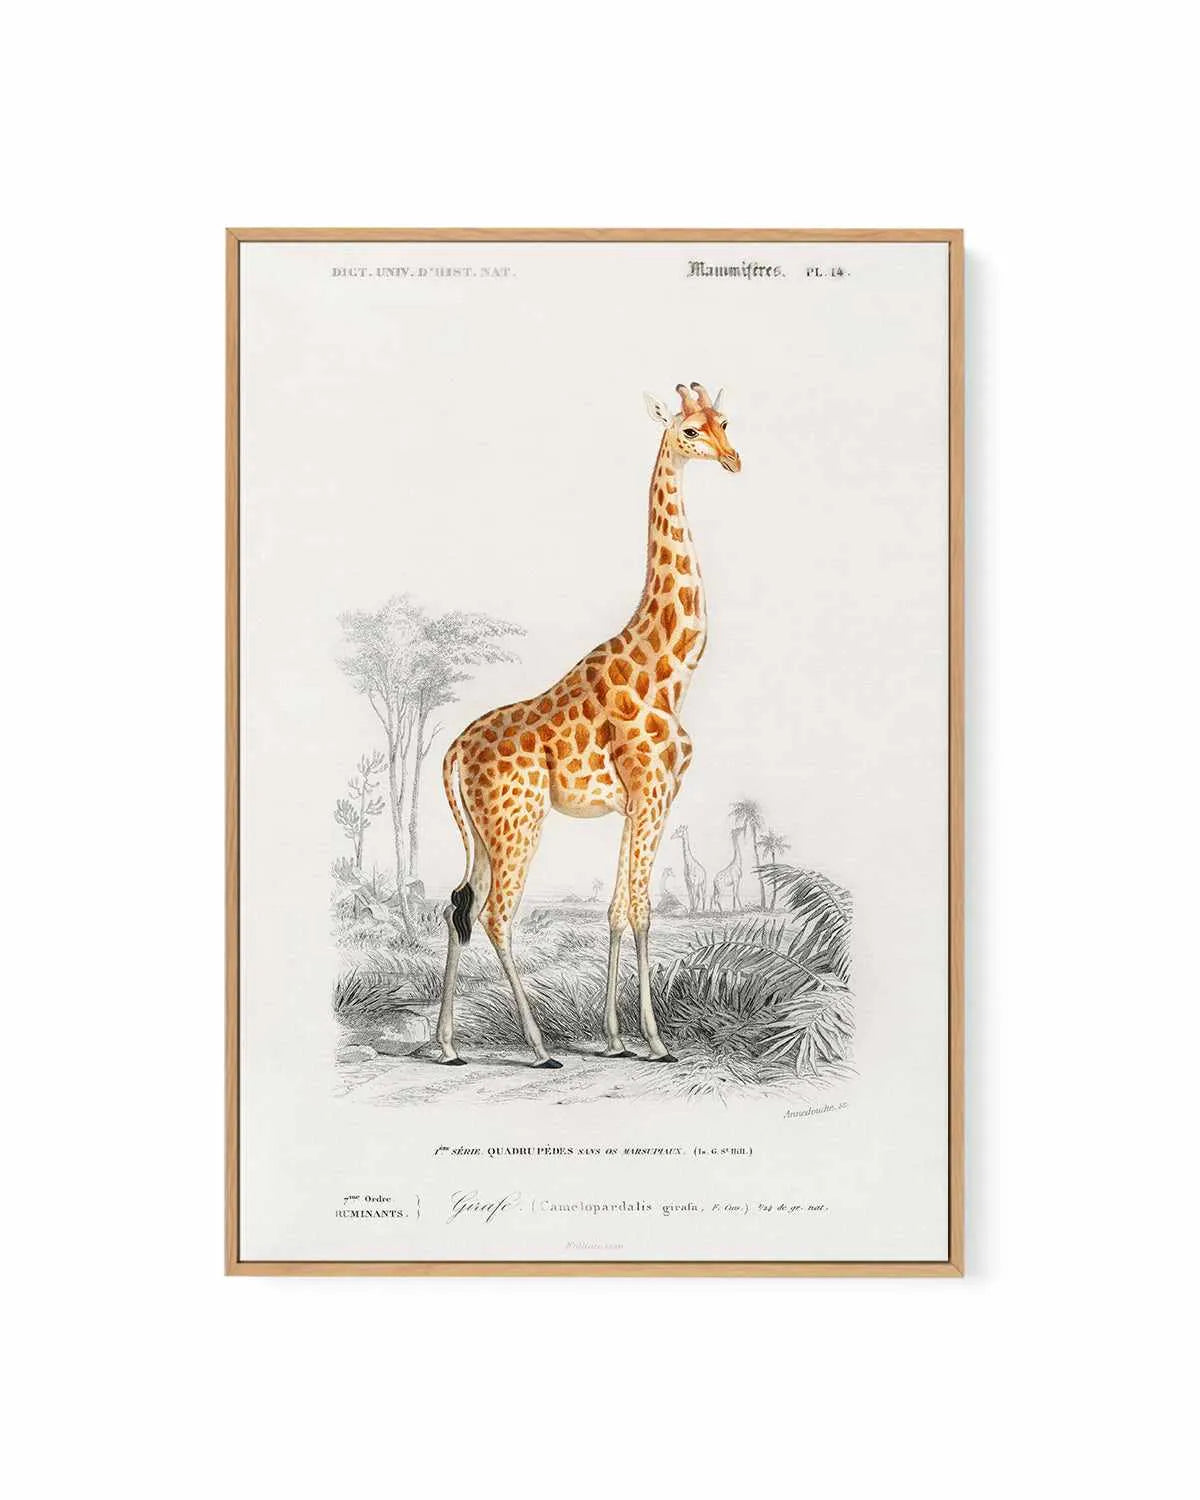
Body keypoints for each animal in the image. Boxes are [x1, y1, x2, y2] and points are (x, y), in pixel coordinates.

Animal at [435, 381, 741, 1066]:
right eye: (689, 431)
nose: (733, 460)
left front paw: (615, 1039)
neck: (672, 670)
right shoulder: (652, 791)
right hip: (518, 821)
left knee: (458, 906)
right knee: (495, 916)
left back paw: (444, 1046)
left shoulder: (641, 800)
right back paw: (538, 1047)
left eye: (725, 422)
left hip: (486, 831)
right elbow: (643, 910)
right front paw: (656, 1042)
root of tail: (453, 752)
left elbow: (615, 911)